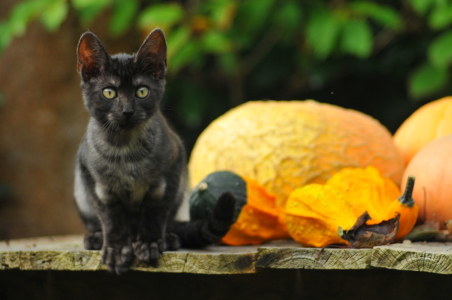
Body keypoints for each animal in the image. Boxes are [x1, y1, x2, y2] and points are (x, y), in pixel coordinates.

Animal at [73, 29, 237, 276]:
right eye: (109, 92)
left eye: (142, 91)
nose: (127, 111)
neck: (125, 149)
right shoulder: (94, 181)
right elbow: (111, 218)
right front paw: (115, 248)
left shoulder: (171, 170)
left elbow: (155, 213)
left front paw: (150, 243)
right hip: (81, 193)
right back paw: (96, 238)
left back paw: (168, 238)